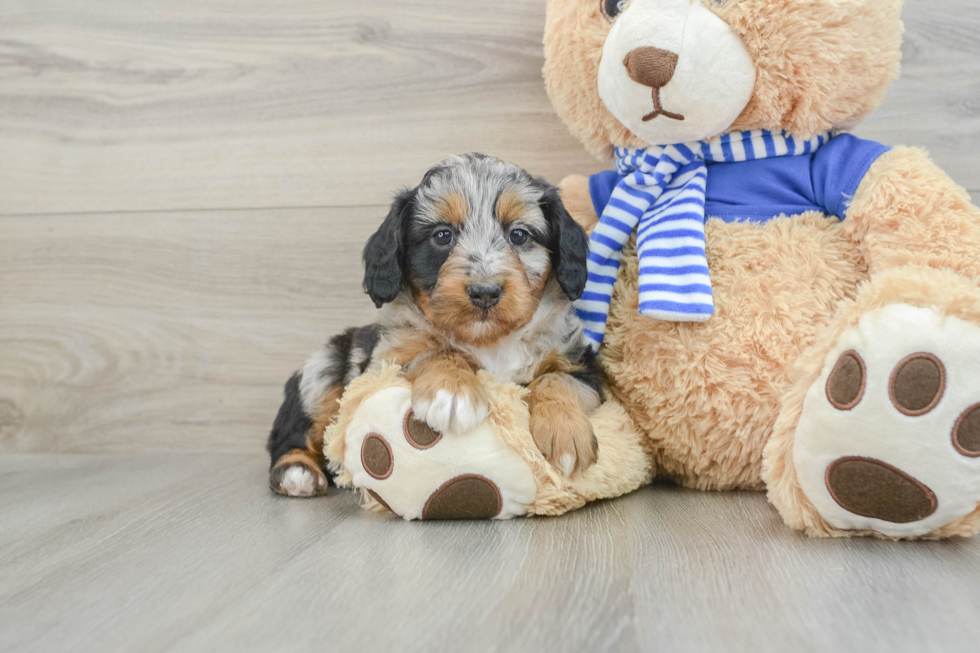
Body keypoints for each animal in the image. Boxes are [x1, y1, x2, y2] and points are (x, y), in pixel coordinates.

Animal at [270, 153, 604, 496]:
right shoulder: (385, 363)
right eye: (443, 236)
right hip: (320, 375)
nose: (485, 292)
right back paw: (297, 471)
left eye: (519, 235)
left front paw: (565, 432)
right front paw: (452, 391)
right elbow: (435, 351)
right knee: (290, 435)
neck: (490, 341)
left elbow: (558, 379)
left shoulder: (581, 362)